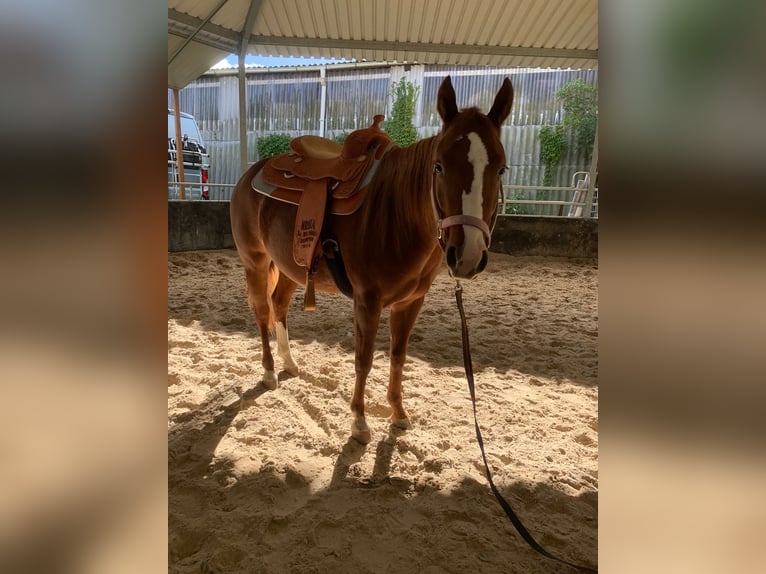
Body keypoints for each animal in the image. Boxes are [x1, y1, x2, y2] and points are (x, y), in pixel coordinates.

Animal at [230, 76, 516, 446]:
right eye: (438, 166)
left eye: (501, 168)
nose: (467, 255)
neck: (396, 215)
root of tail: (251, 173)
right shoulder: (368, 300)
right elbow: (363, 359)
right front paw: (359, 422)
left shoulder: (411, 302)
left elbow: (398, 356)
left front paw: (398, 413)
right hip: (255, 262)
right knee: (262, 311)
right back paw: (268, 371)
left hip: (291, 267)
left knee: (278, 306)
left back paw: (289, 363)